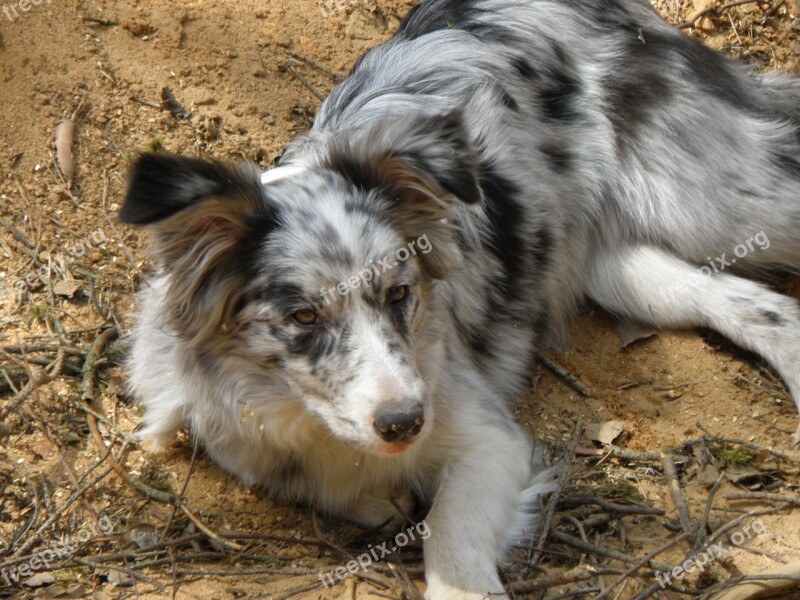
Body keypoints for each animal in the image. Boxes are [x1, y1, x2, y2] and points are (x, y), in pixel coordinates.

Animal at [119, 2, 800, 596]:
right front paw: (378, 496)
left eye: (400, 293)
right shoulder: (228, 431)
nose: (404, 423)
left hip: (718, 205)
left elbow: (447, 533)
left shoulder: (490, 440)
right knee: (748, 302)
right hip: (623, 265)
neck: (308, 423)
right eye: (303, 317)